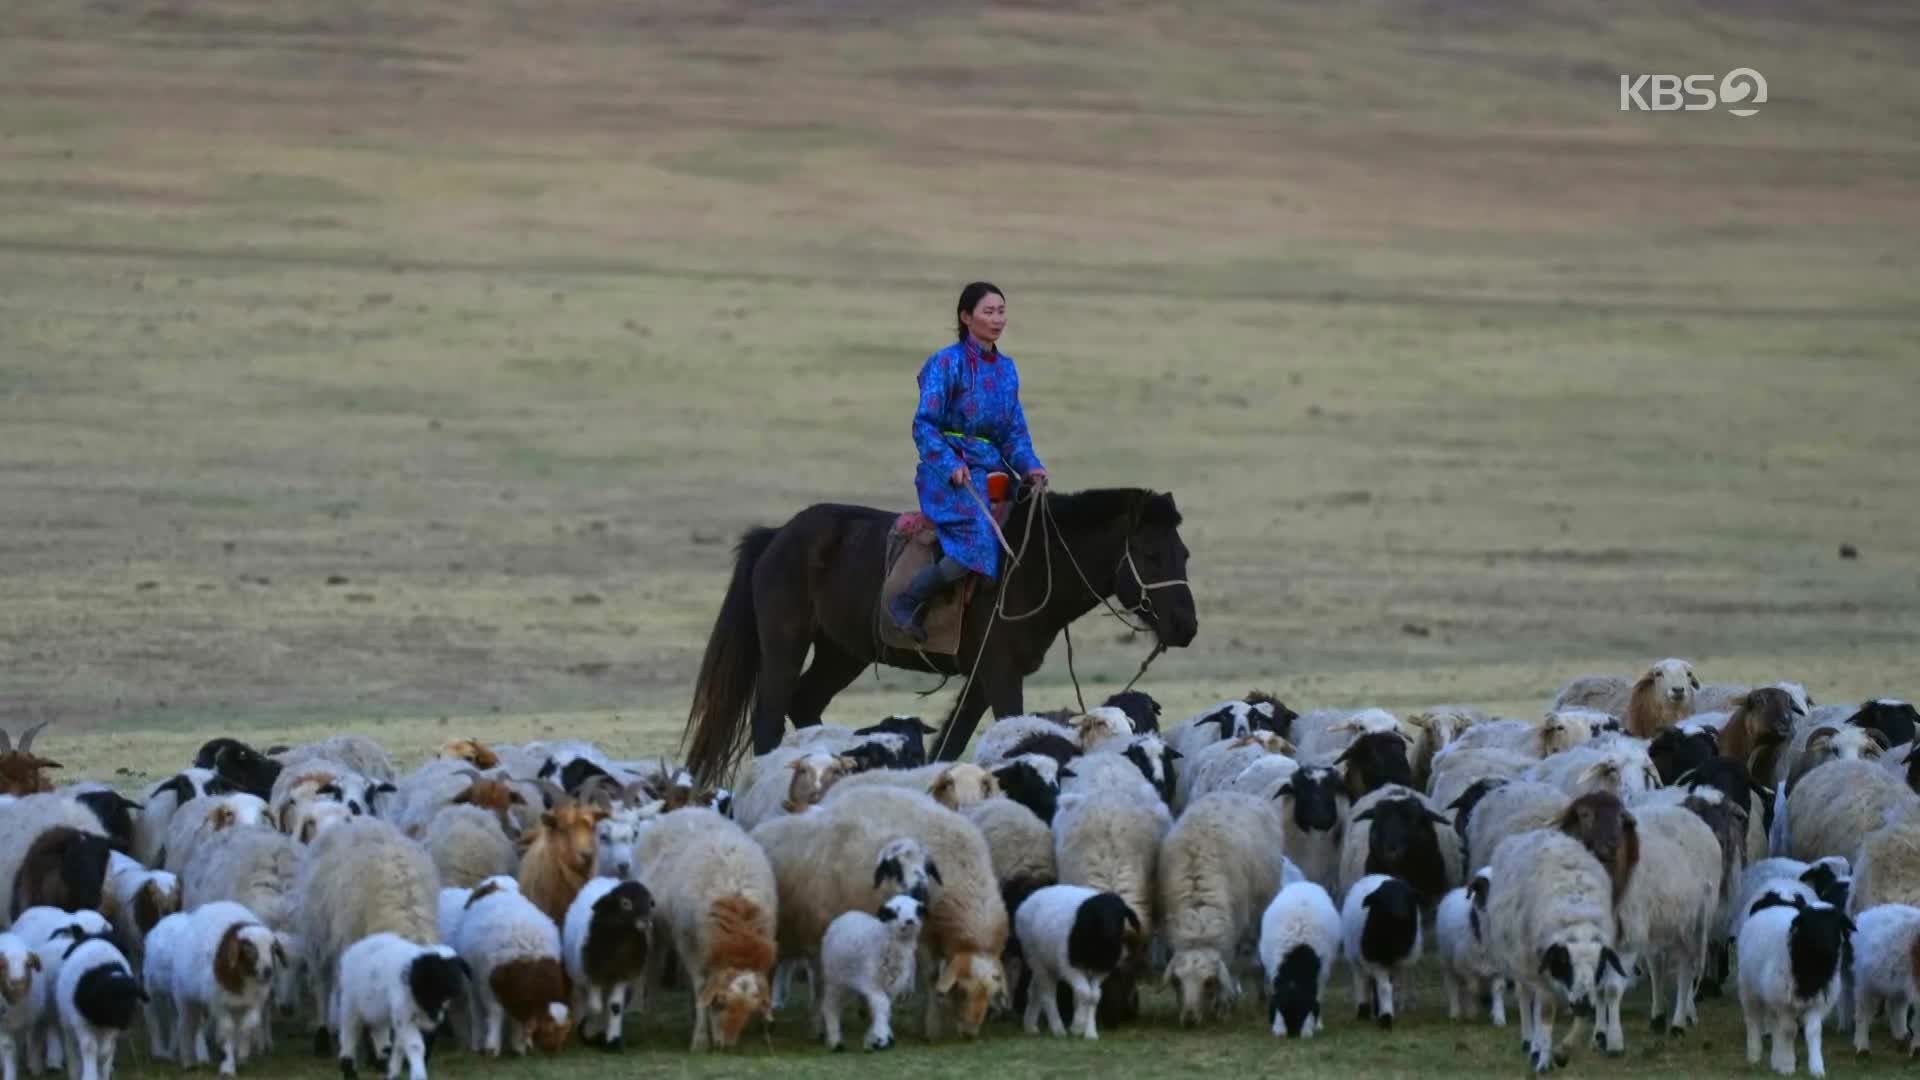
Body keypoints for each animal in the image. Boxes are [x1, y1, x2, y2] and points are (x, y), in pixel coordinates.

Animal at [683, 488, 1198, 780]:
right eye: (1151, 554)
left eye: (1184, 553)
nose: (1185, 626)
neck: (1031, 567)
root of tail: (778, 535)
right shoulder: (1001, 673)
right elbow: (1009, 724)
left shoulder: (983, 675)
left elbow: (953, 738)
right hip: (785, 645)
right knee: (770, 717)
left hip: (842, 652)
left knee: (805, 701)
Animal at [814, 891, 925, 1053]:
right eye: (894, 912)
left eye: (917, 910)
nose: (910, 921)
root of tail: (848, 914)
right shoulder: (870, 982)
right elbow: (882, 1003)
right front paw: (880, 1036)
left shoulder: (892, 986)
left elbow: (884, 1009)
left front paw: (875, 1037)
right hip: (837, 979)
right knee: (830, 1005)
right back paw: (835, 1041)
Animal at [1251, 883, 1344, 1037]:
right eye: (1282, 1009)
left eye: (1303, 1011)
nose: (1293, 1033)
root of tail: (1304, 884)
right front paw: (1279, 1028)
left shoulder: (1320, 974)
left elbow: (1317, 998)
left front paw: (1311, 1027)